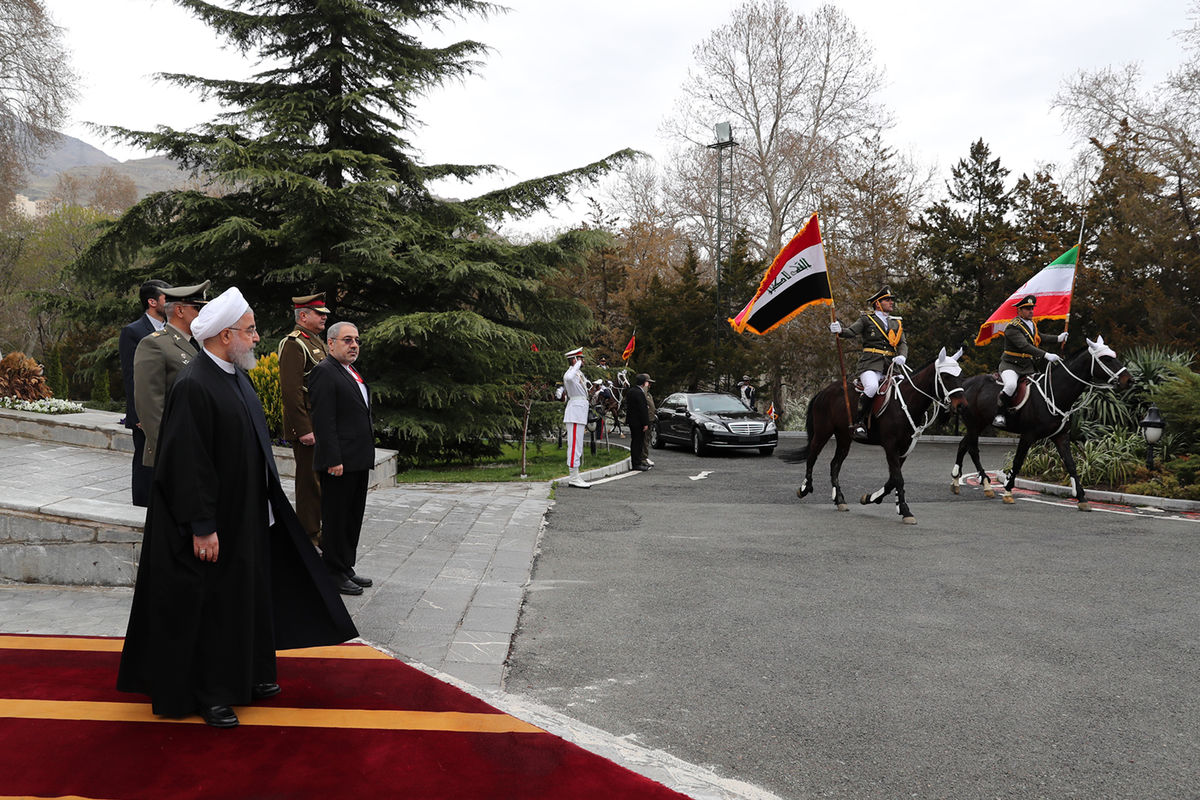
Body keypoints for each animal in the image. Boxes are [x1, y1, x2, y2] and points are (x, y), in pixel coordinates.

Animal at [796, 347, 964, 525]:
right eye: (946, 376)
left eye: (961, 374)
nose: (961, 405)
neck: (906, 402)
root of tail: (824, 391)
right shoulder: (891, 446)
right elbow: (898, 478)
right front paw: (905, 510)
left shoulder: (904, 448)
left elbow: (892, 479)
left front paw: (871, 498)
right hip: (823, 432)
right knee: (812, 456)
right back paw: (804, 488)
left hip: (844, 437)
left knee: (834, 464)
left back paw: (839, 499)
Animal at [950, 335, 1128, 510]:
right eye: (1106, 359)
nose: (1129, 380)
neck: (1055, 392)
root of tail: (966, 384)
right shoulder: (1028, 435)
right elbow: (1018, 461)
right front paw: (1008, 491)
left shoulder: (1061, 436)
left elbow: (1071, 464)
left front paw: (1082, 498)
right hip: (974, 424)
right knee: (973, 449)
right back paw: (986, 484)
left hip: (978, 425)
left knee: (963, 445)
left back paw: (957, 482)